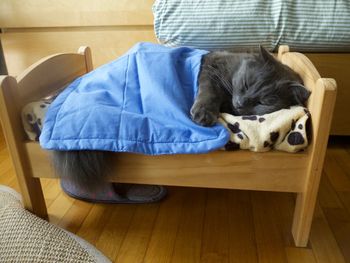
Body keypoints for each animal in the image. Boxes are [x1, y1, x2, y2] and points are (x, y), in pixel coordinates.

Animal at [51, 46, 308, 190]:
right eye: (245, 84)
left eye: (263, 101)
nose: (240, 103)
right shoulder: (210, 69)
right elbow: (208, 92)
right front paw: (203, 114)